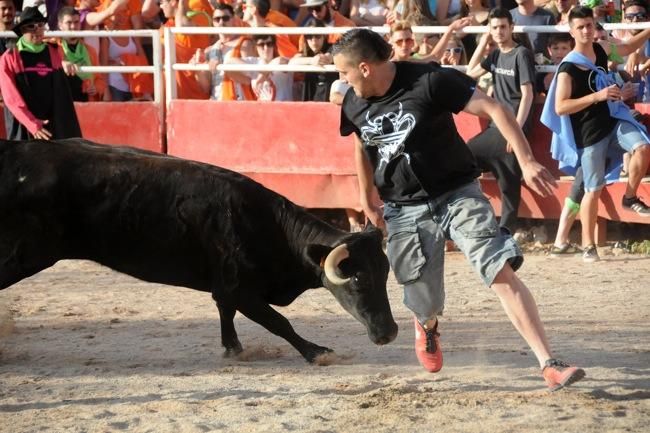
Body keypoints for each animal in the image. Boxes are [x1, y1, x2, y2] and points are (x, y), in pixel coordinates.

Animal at [0, 138, 394, 362]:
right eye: (358, 280)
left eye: (385, 276)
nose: (389, 333)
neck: (268, 225)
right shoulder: (241, 289)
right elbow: (277, 322)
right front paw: (316, 352)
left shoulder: (225, 289)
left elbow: (226, 313)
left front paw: (232, 348)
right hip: (22, 254)